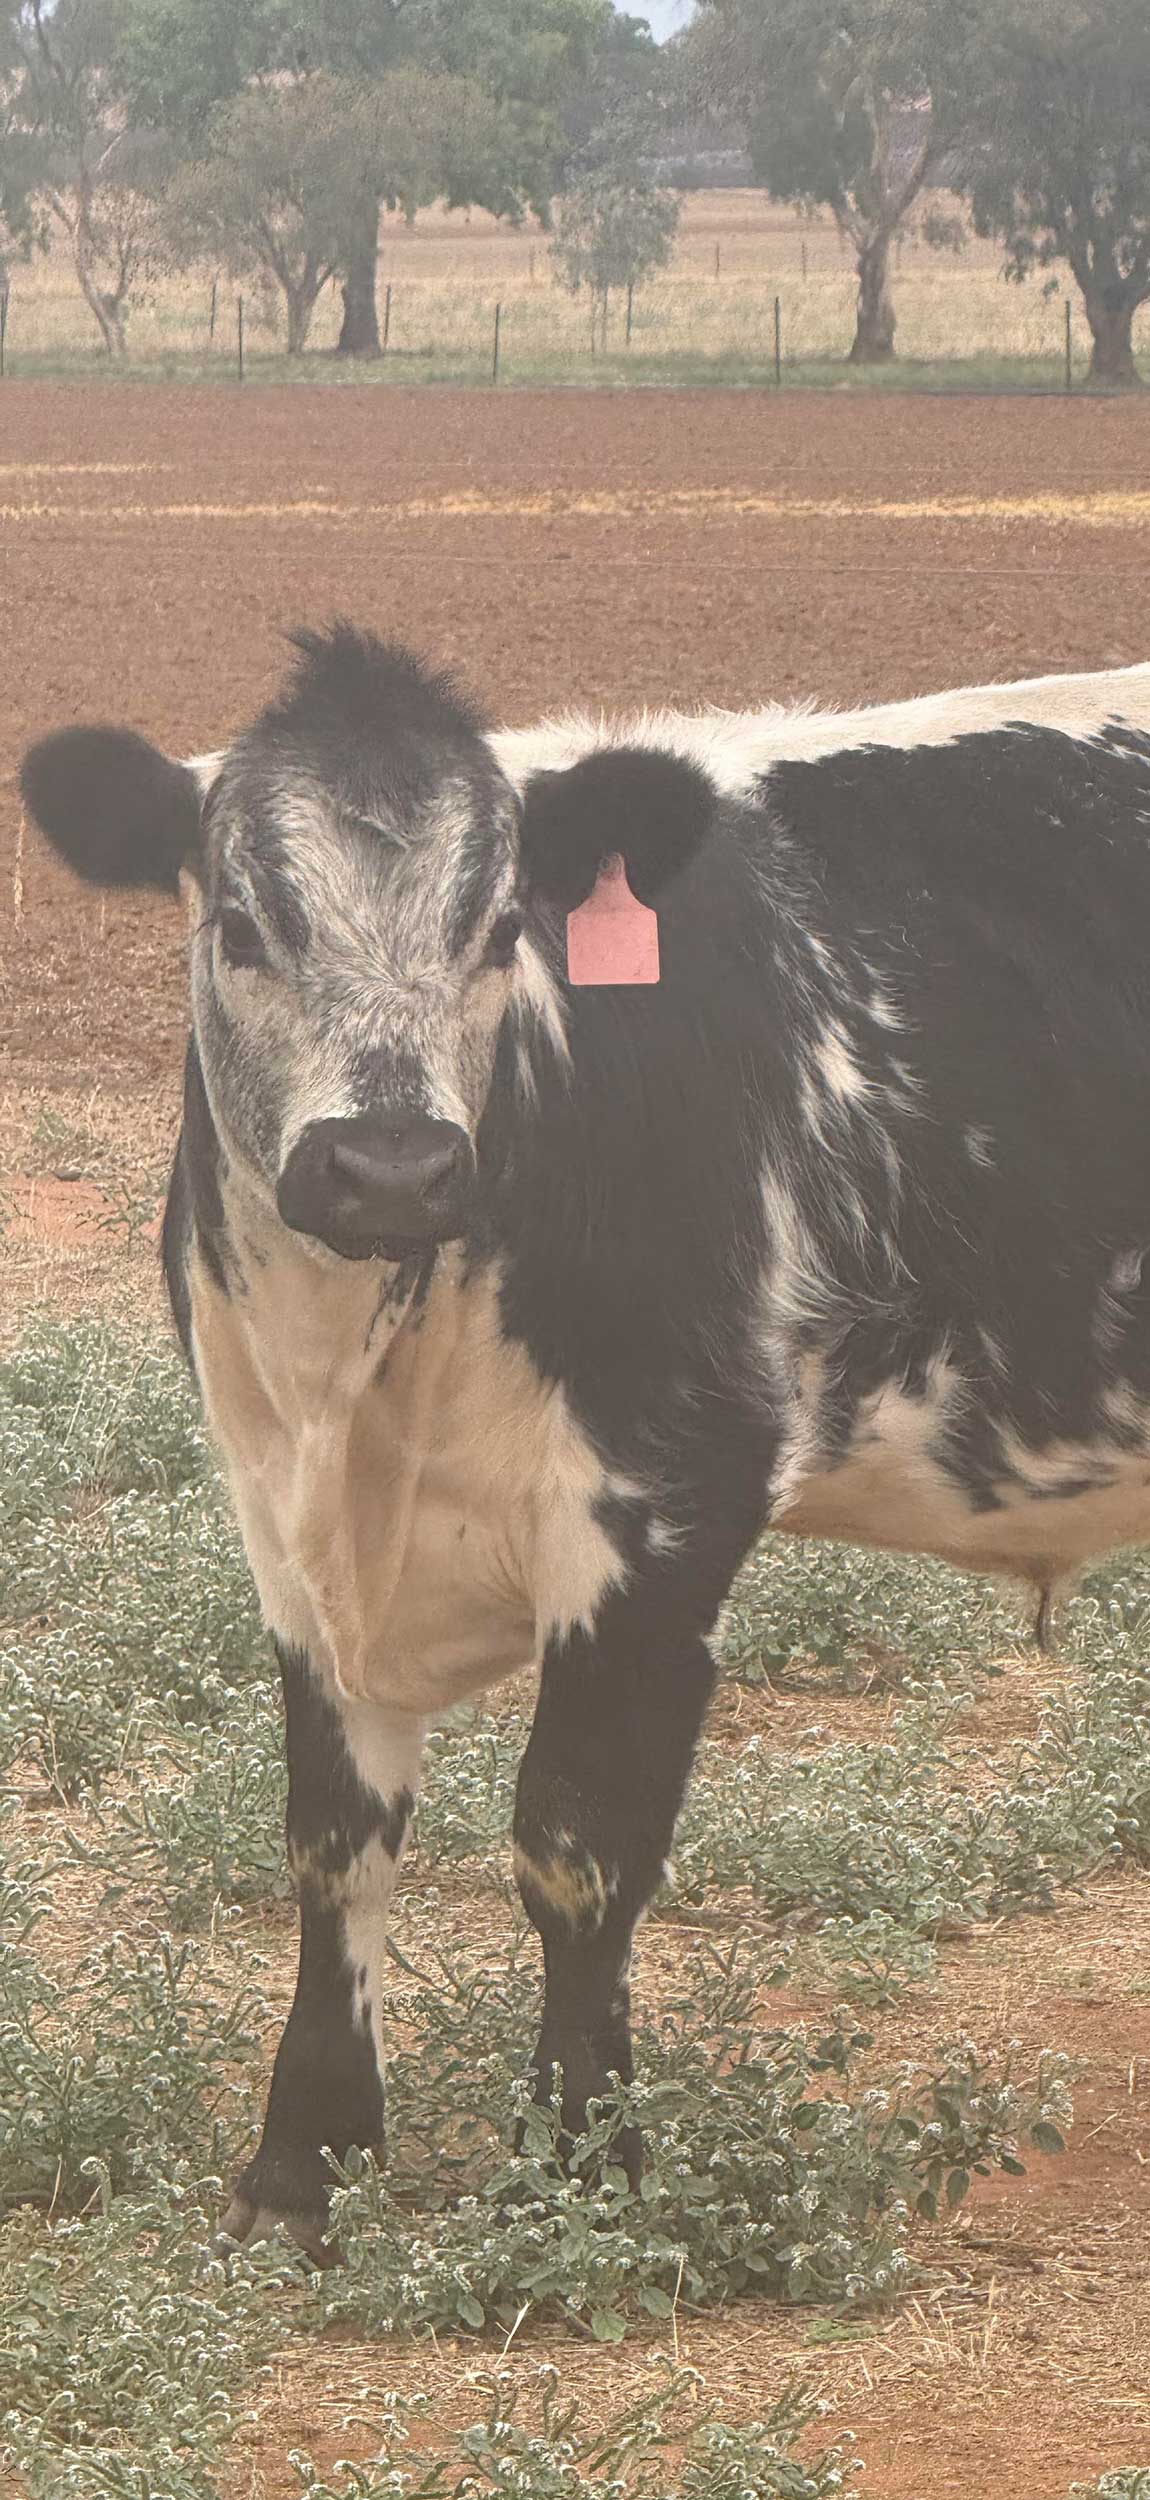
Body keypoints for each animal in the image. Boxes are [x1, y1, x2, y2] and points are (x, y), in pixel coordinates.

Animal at [21, 628, 1150, 2259]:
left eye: (501, 927)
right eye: (240, 923)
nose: (389, 1166)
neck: (356, 1389)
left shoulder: (665, 1509)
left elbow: (577, 1851)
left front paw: (580, 2170)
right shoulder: (283, 1529)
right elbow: (331, 1841)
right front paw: (302, 2166)